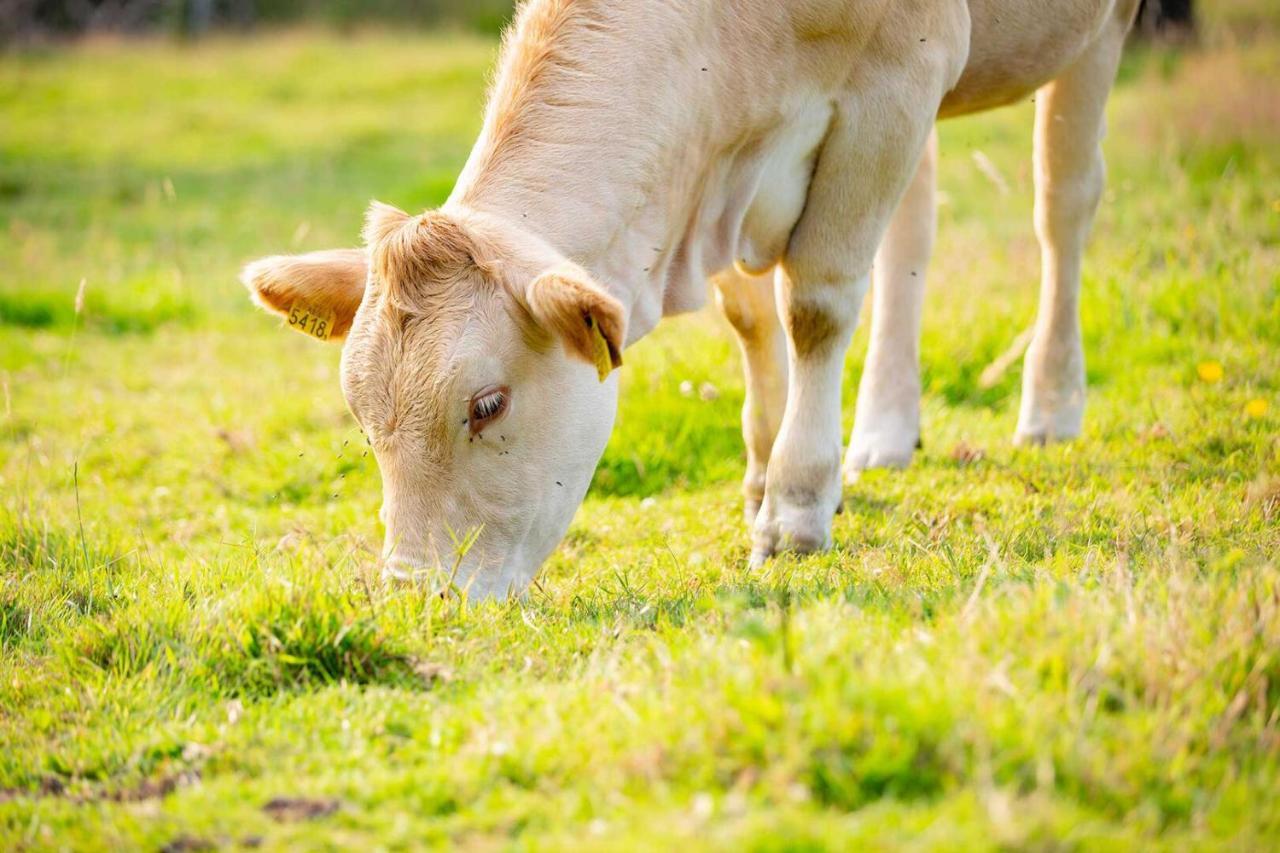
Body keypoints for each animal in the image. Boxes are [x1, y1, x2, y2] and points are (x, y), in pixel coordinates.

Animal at [240, 0, 1141, 596]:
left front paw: (796, 506)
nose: (415, 590)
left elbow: (816, 304)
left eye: (487, 404)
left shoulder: (899, 76)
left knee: (1063, 199)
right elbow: (753, 317)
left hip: (1094, 35)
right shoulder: (735, 157)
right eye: (363, 418)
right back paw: (884, 432)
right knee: (911, 237)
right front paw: (766, 475)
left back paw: (1051, 404)